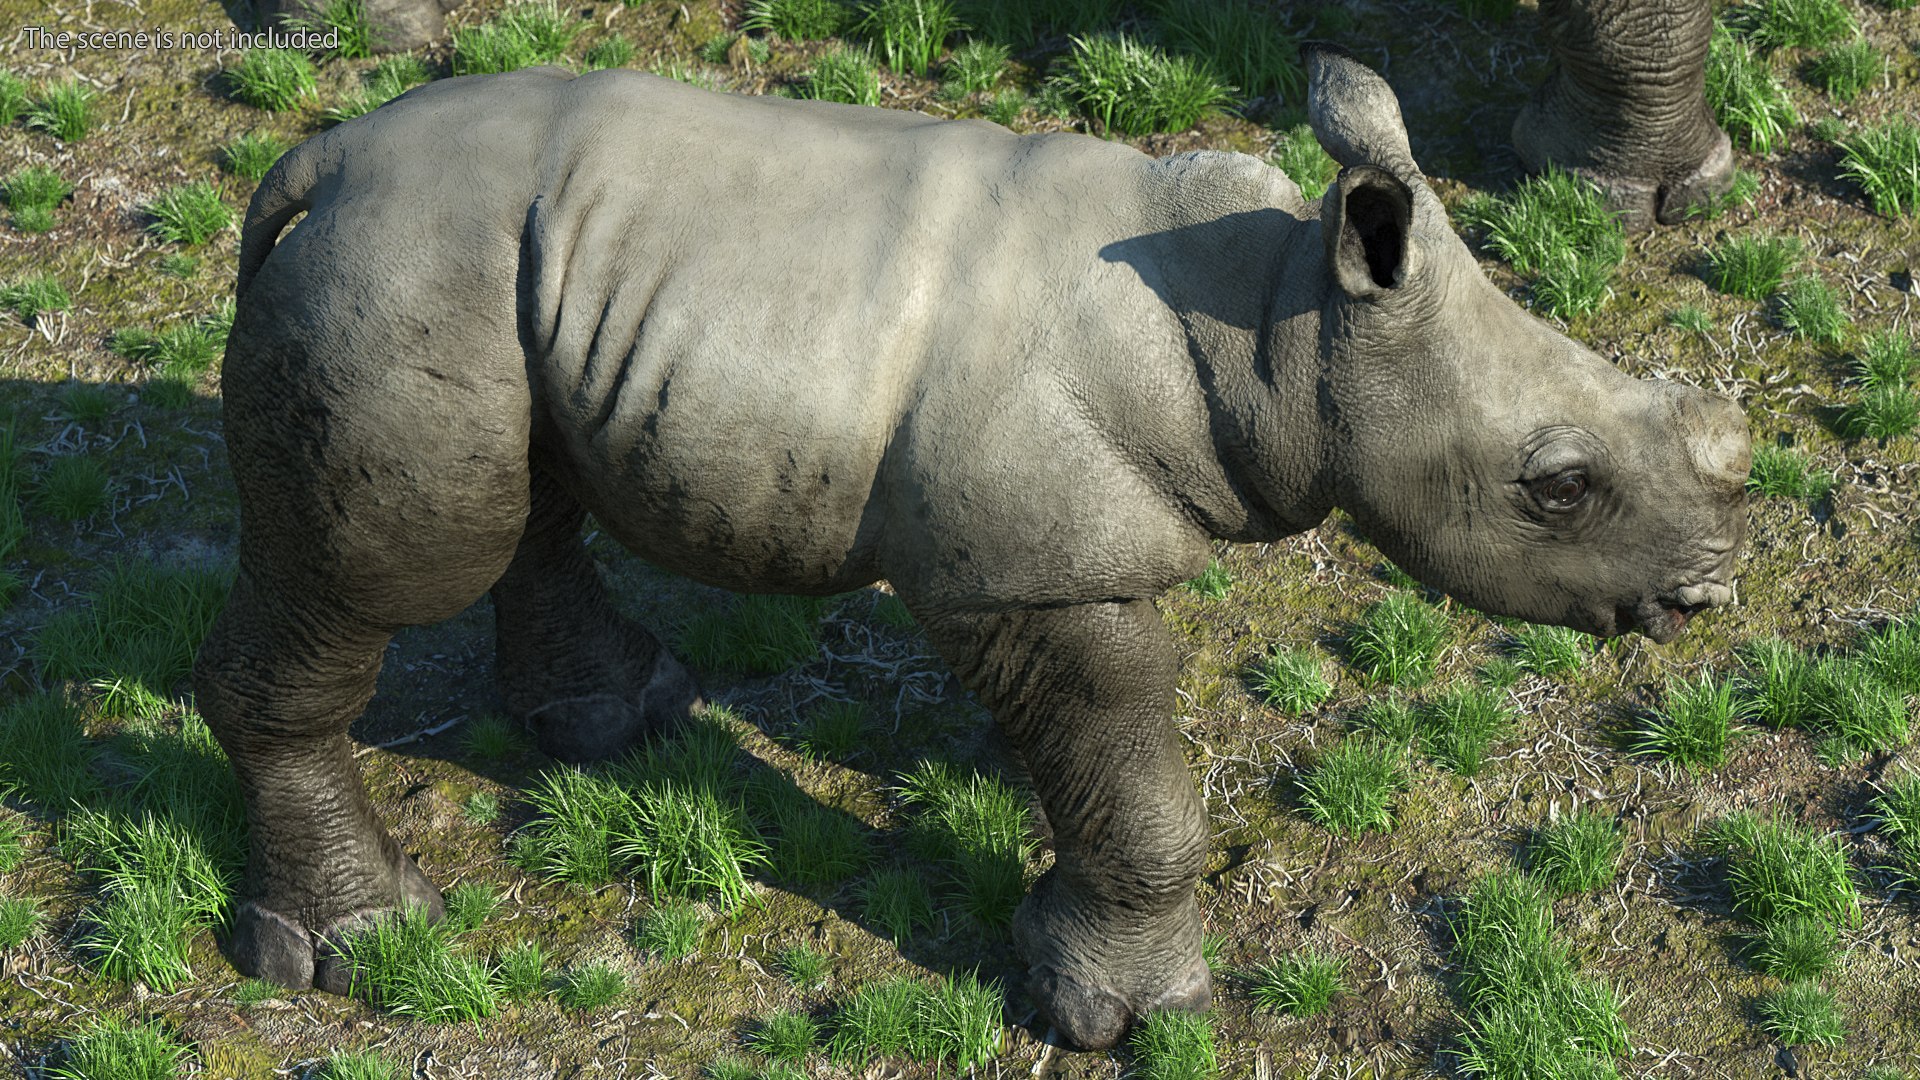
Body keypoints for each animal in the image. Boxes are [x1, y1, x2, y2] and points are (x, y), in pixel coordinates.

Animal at [194, 46, 1749, 1051]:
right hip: (396, 278)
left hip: (495, 275)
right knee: (388, 571)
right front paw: (1118, 1014)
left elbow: (1101, 757)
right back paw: (358, 946)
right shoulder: (1037, 573)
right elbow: (1142, 781)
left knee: (525, 495)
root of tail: (319, 157)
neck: (1275, 327)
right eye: (1559, 488)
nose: (1710, 592)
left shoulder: (1038, 558)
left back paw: (615, 720)